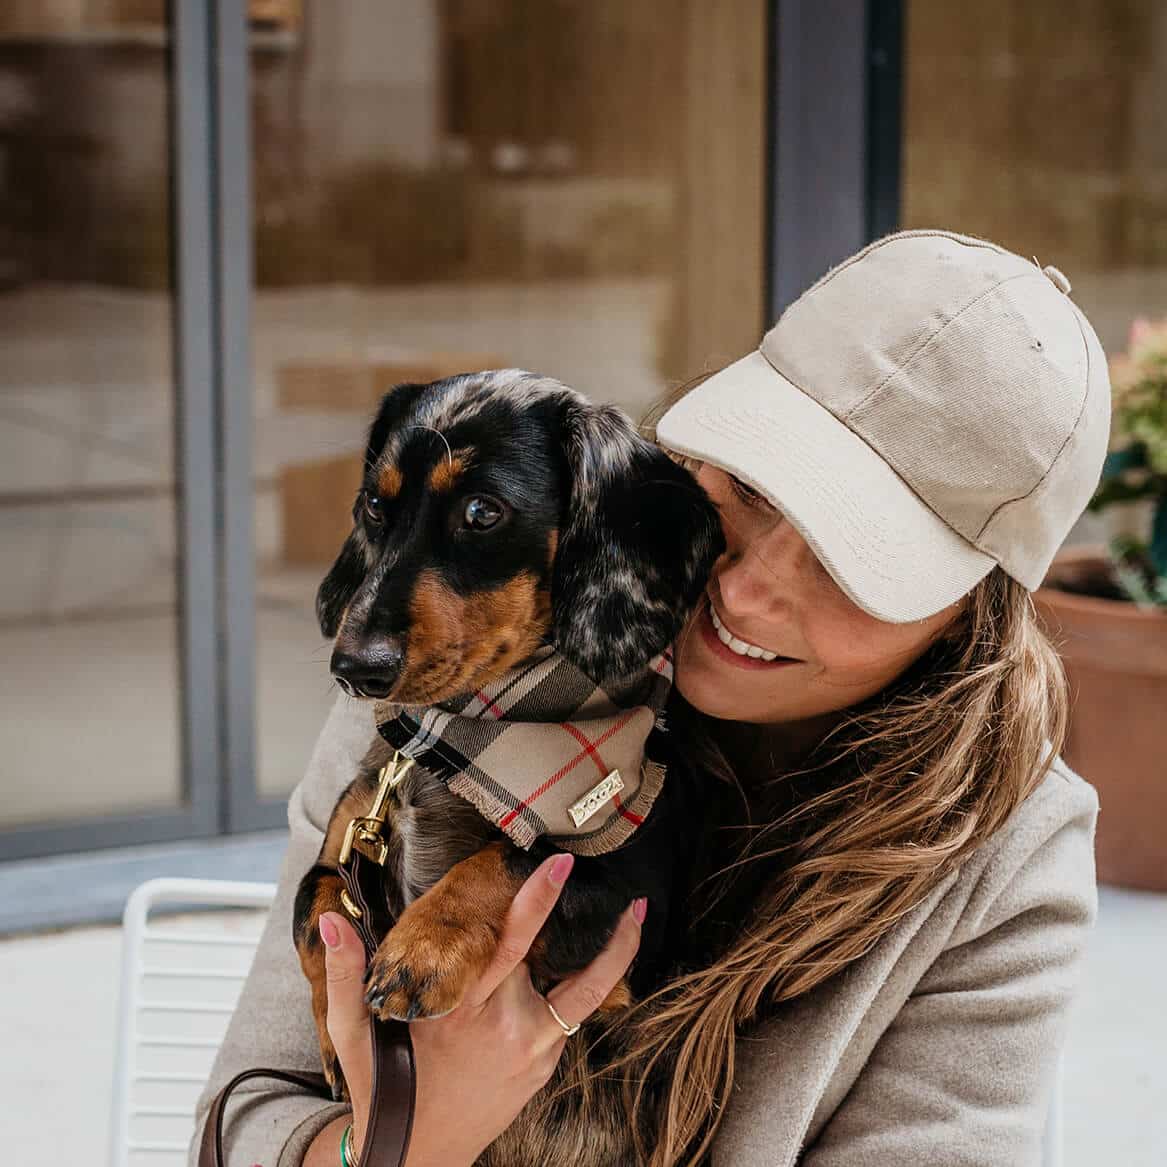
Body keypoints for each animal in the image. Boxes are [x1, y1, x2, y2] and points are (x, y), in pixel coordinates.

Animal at [291, 368, 718, 1162]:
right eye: (374, 505)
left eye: (482, 512)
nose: (354, 668)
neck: (460, 738)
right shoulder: (349, 842)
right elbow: (315, 901)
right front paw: (337, 1044)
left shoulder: (628, 910)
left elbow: (519, 860)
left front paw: (423, 947)